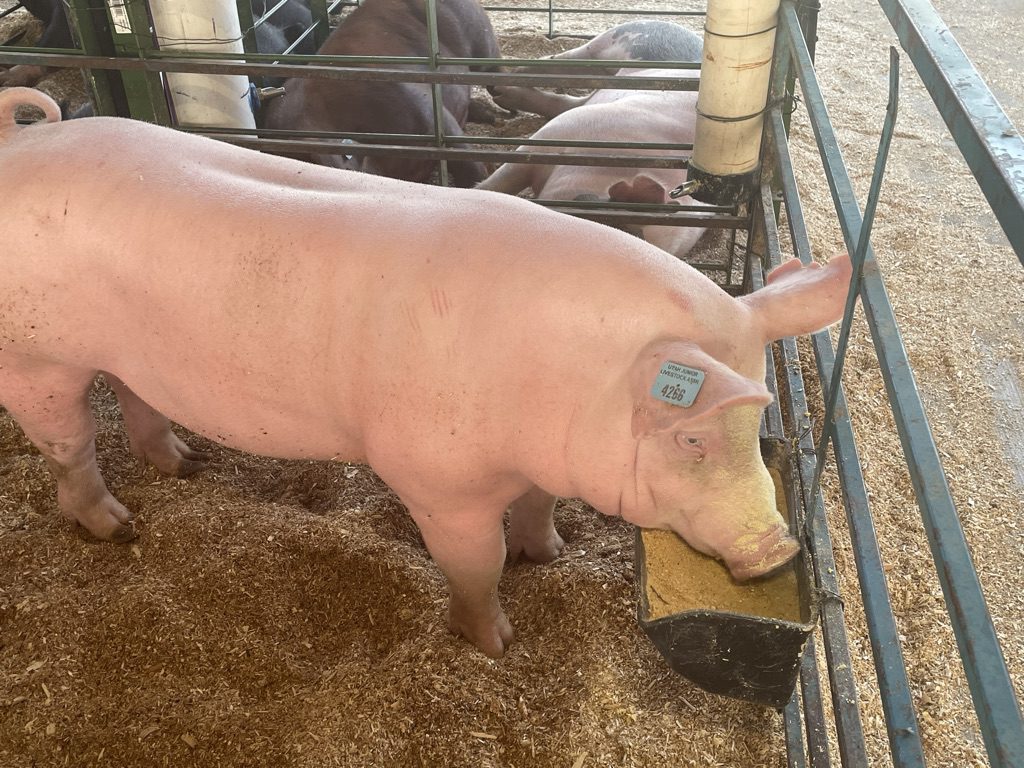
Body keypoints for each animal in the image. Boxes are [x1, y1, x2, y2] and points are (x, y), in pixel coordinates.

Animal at [0, 87, 847, 659]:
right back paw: (116, 526)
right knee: (69, 443)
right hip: (35, 356)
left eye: (754, 426)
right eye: (693, 441)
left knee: (133, 396)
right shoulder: (436, 479)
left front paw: (551, 555)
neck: (557, 385)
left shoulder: (543, 462)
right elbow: (476, 564)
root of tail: (18, 144)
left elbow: (537, 510)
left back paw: (182, 465)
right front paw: (496, 644)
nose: (777, 550)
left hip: (123, 354)